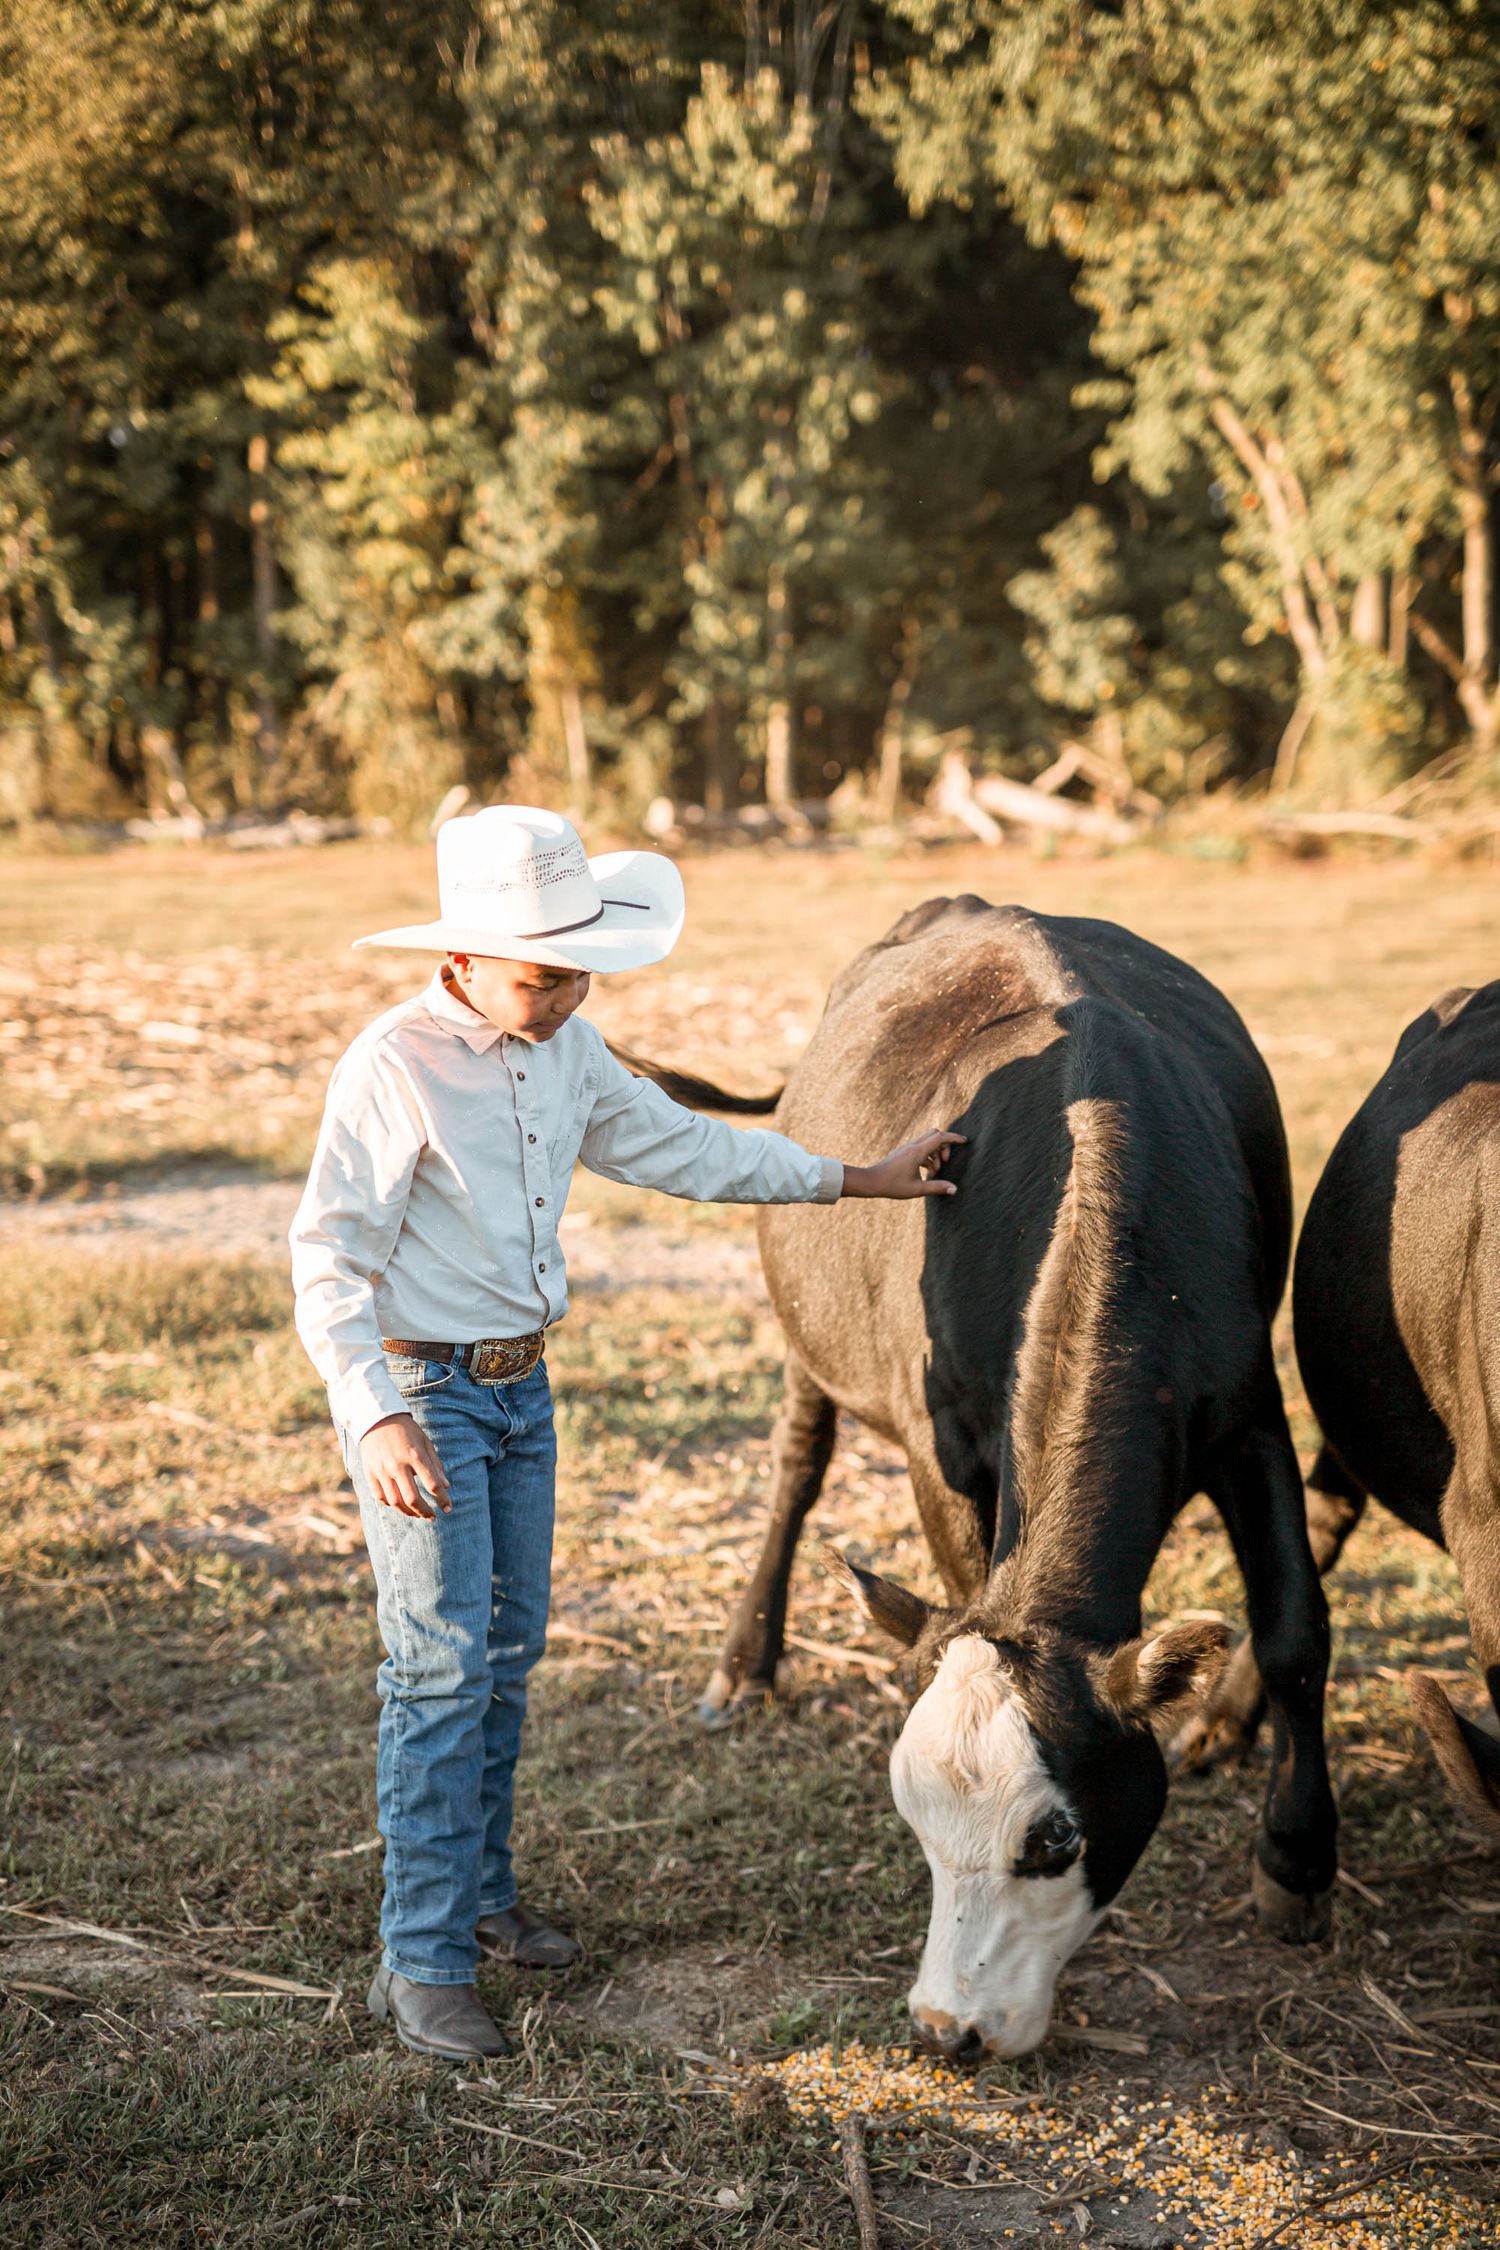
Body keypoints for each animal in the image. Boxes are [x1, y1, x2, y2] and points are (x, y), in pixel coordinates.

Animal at [619, 896, 1337, 2059]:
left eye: (1054, 1841)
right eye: (912, 1820)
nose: (944, 2027)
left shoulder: (1249, 1410)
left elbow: (1292, 1634)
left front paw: (1298, 1860)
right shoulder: (938, 1445)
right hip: (809, 1341)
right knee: (797, 1465)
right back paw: (744, 1662)